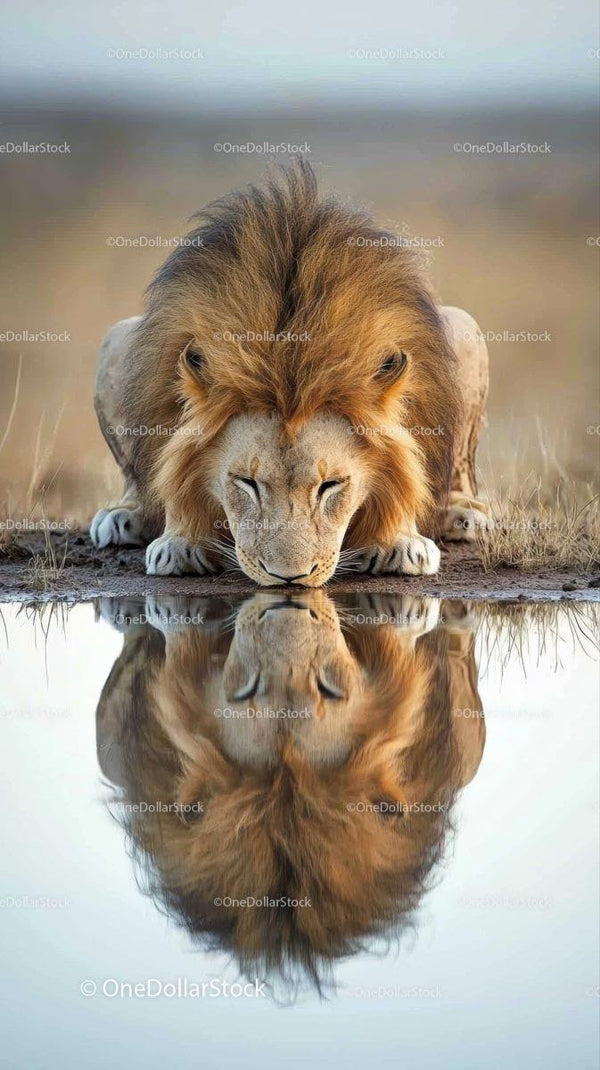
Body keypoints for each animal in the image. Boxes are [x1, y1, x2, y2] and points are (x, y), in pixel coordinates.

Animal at [90, 162, 489, 585]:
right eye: (246, 483)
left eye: (331, 485)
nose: (289, 578)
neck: (290, 365)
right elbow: (170, 471)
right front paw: (179, 542)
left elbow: (409, 472)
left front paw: (400, 542)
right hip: (116, 337)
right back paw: (123, 515)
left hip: (466, 328)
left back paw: (465, 514)